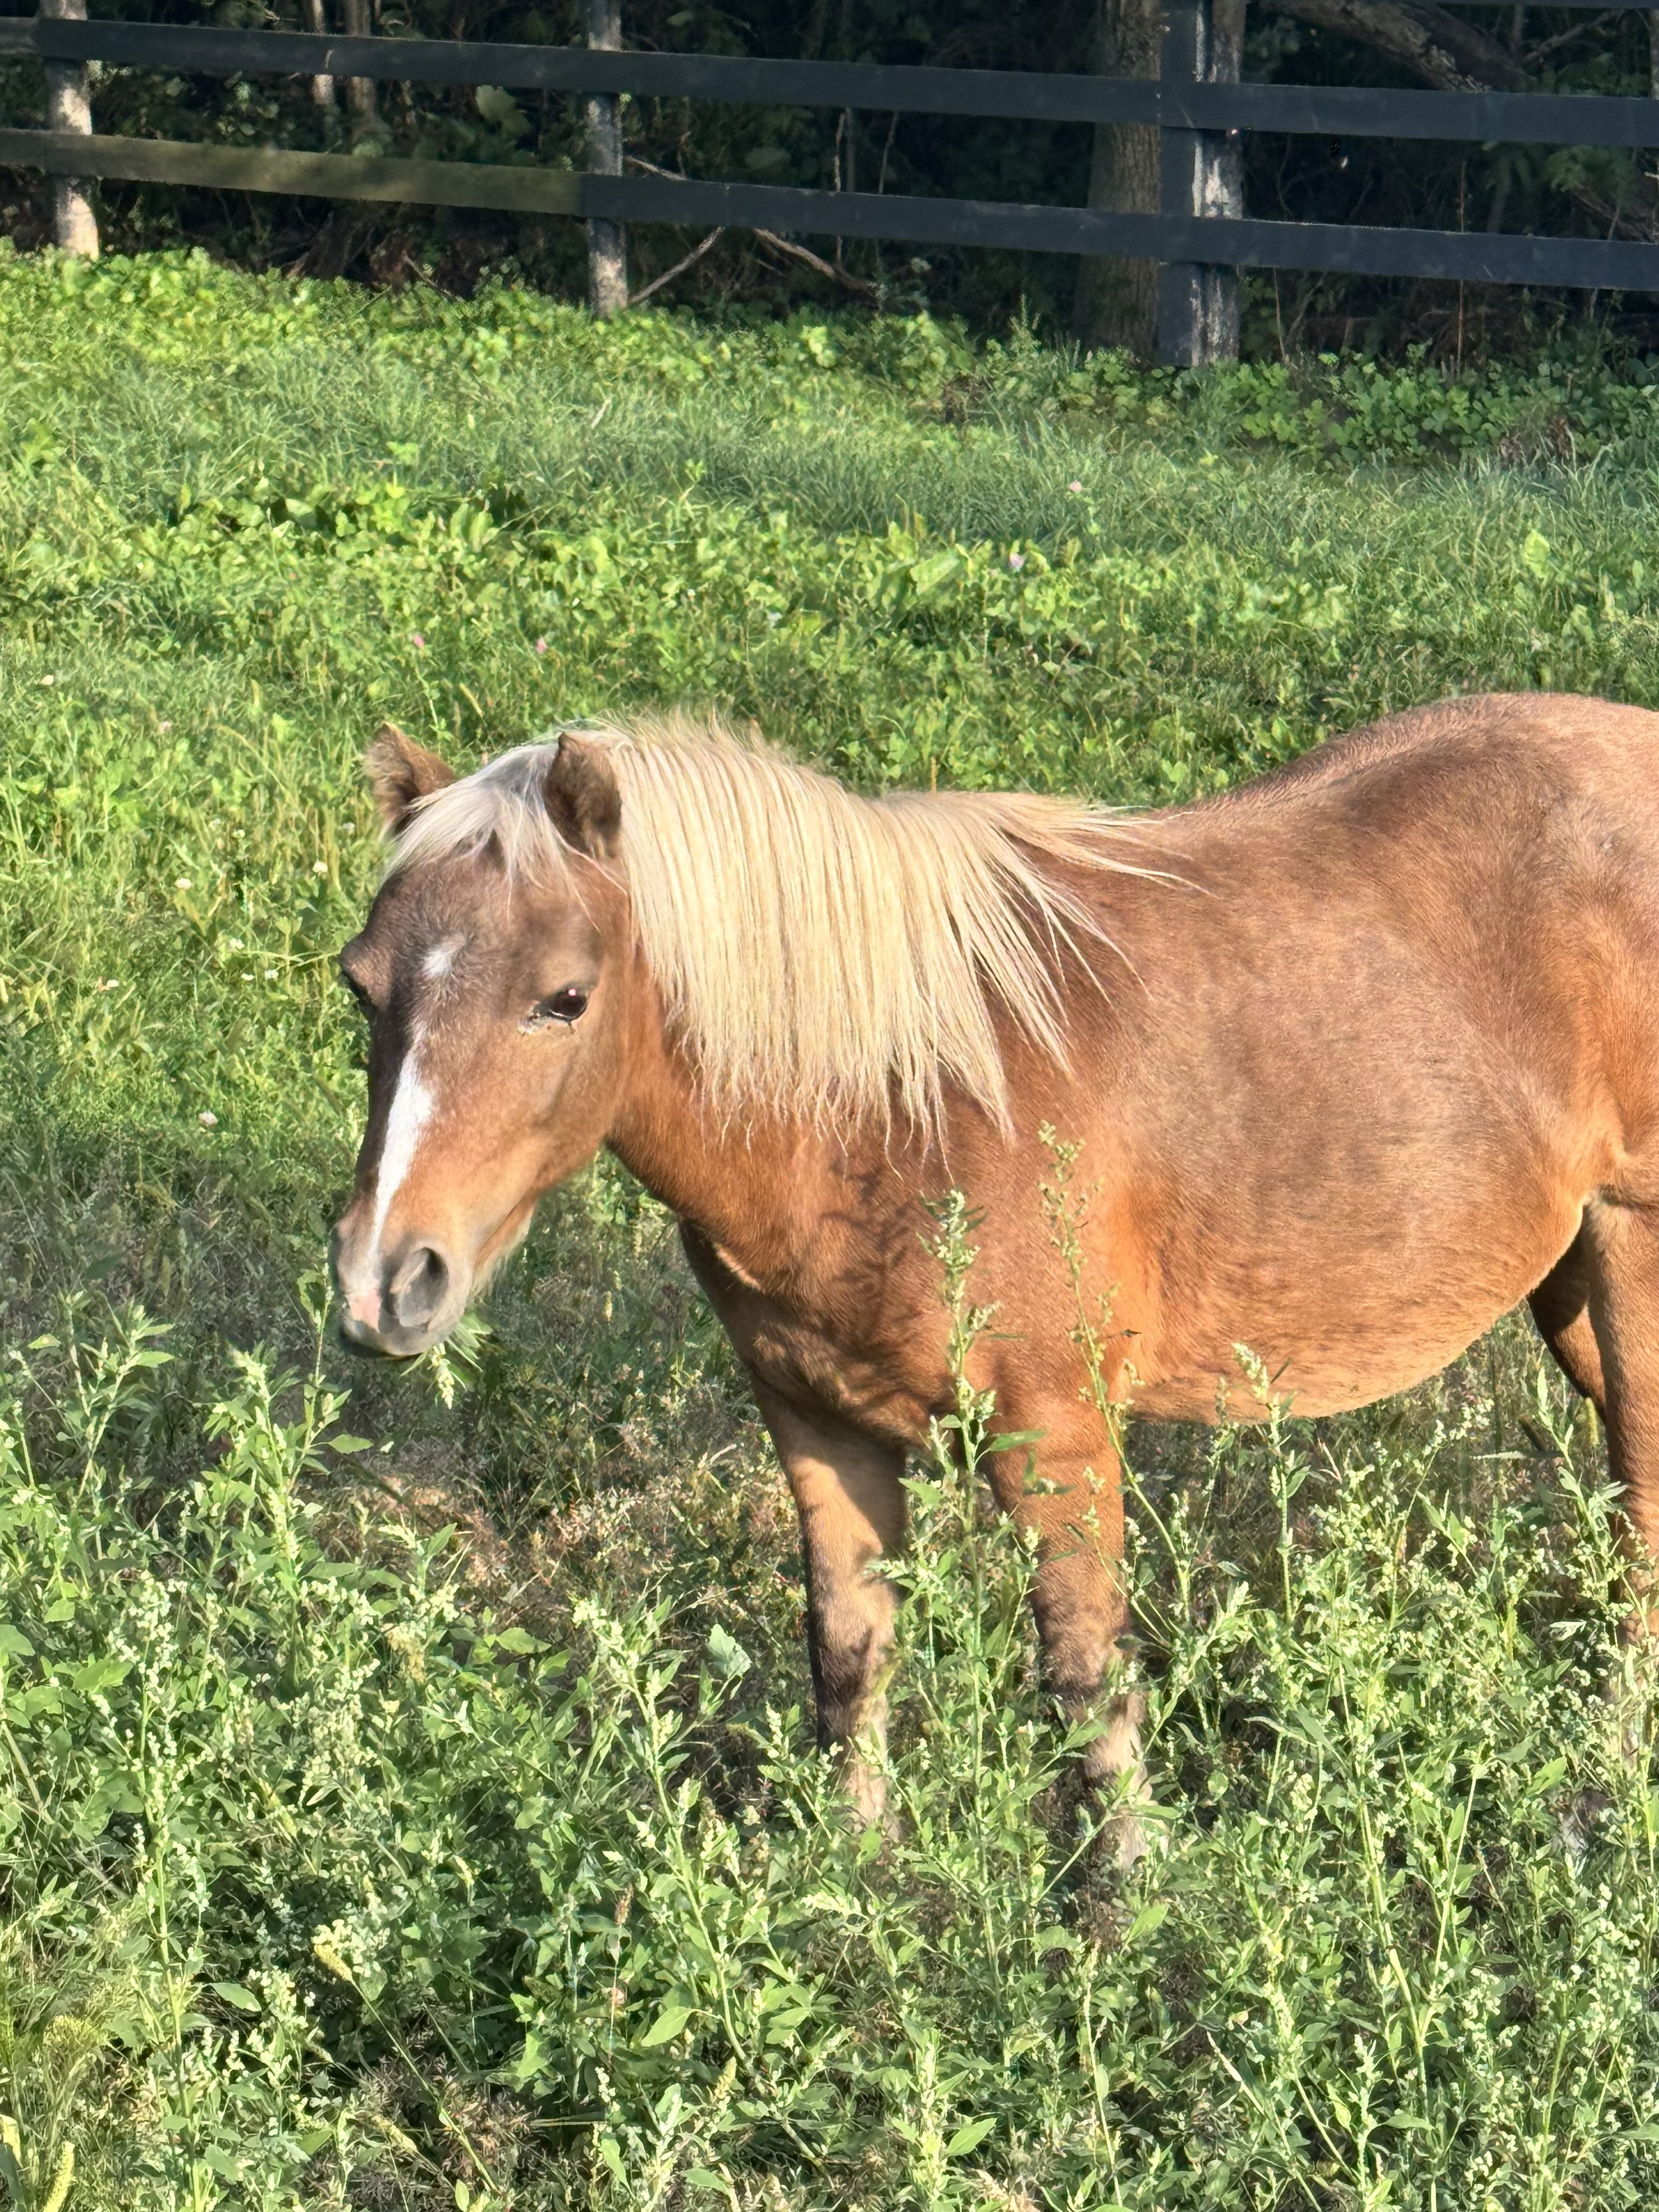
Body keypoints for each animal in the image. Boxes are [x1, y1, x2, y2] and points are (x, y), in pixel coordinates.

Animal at [331, 695, 1659, 1844]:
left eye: (564, 997)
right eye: (361, 984)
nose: (384, 1282)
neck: (892, 1104)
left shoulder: (1055, 1437)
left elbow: (1082, 1676)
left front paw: (1126, 1900)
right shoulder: (816, 1421)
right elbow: (849, 1651)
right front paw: (856, 1877)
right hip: (1565, 1285)